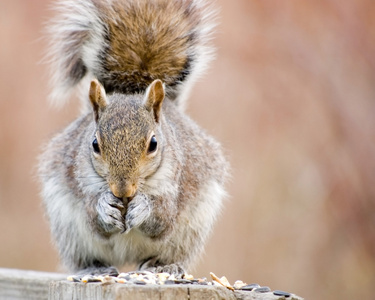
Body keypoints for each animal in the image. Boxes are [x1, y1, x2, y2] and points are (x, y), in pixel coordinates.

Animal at [39, 0, 229, 276]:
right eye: (94, 144)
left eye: (153, 144)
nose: (122, 190)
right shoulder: (80, 176)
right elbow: (92, 215)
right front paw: (104, 206)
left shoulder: (176, 180)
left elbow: (163, 217)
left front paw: (143, 208)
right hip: (68, 230)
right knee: (85, 257)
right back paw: (93, 269)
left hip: (191, 230)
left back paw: (164, 267)